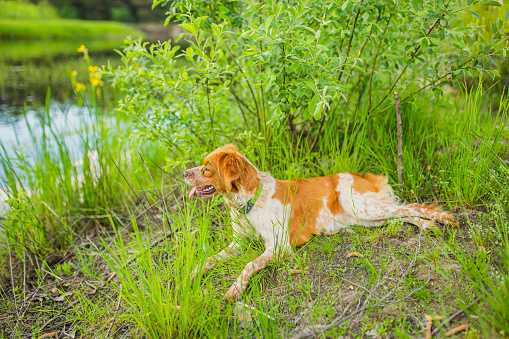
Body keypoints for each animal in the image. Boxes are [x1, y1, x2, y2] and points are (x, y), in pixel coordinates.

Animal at [184, 145, 456, 302]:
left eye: (207, 169)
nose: (185, 173)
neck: (249, 202)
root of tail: (362, 175)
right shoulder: (238, 243)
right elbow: (209, 259)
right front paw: (191, 276)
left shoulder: (278, 247)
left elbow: (249, 264)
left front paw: (235, 289)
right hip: (365, 217)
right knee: (400, 214)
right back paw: (427, 226)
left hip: (362, 207)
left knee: (411, 207)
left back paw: (442, 219)